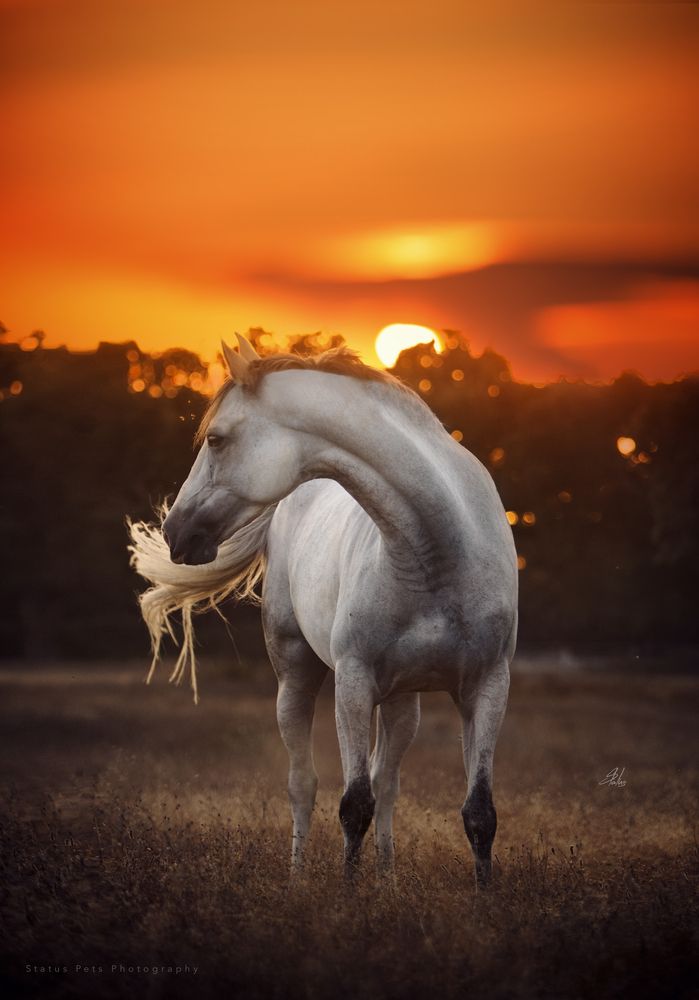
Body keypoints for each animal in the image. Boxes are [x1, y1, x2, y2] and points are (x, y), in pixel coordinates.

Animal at [129, 334, 518, 886]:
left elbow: (479, 812)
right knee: (303, 784)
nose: (175, 533)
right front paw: (347, 896)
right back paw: (298, 880)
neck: (439, 552)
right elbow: (353, 804)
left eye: (217, 440)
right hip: (297, 679)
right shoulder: (353, 683)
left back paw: (387, 880)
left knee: (388, 782)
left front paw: (481, 898)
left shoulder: (488, 685)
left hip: (403, 702)